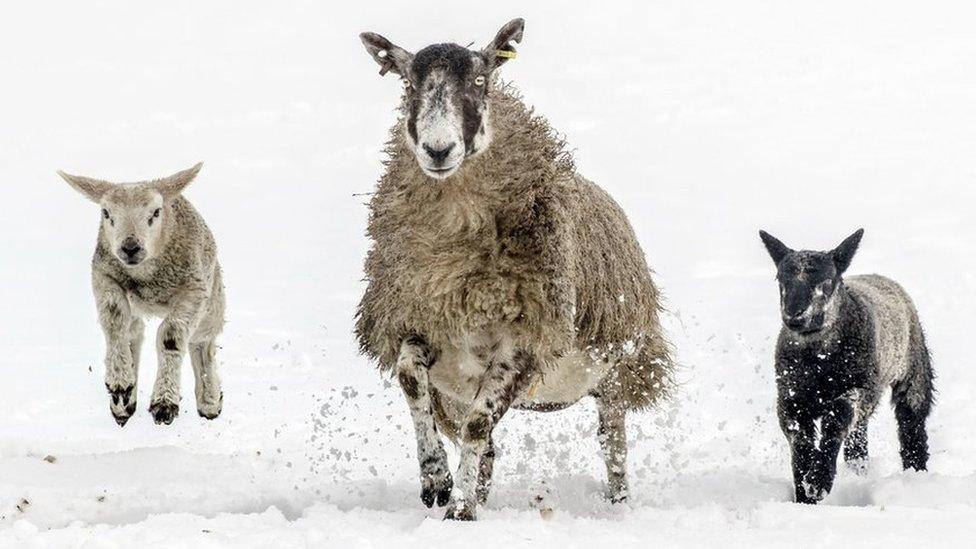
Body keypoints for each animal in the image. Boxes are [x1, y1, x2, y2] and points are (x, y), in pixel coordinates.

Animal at [356, 19, 672, 520]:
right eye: (408, 84)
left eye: (480, 80)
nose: (438, 150)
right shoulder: (421, 319)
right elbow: (411, 378)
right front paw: (437, 479)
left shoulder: (526, 345)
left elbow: (478, 425)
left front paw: (459, 510)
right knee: (487, 447)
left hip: (618, 372)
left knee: (612, 441)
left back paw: (617, 504)